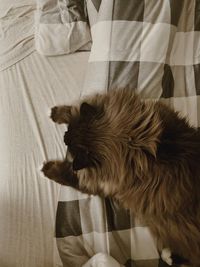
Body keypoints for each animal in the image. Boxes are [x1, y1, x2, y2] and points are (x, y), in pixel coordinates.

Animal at [41, 89, 200, 266]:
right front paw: (54, 113)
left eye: (68, 143)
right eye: (67, 134)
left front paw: (47, 169)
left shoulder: (98, 184)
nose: (64, 138)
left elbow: (67, 174)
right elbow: (72, 109)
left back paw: (167, 254)